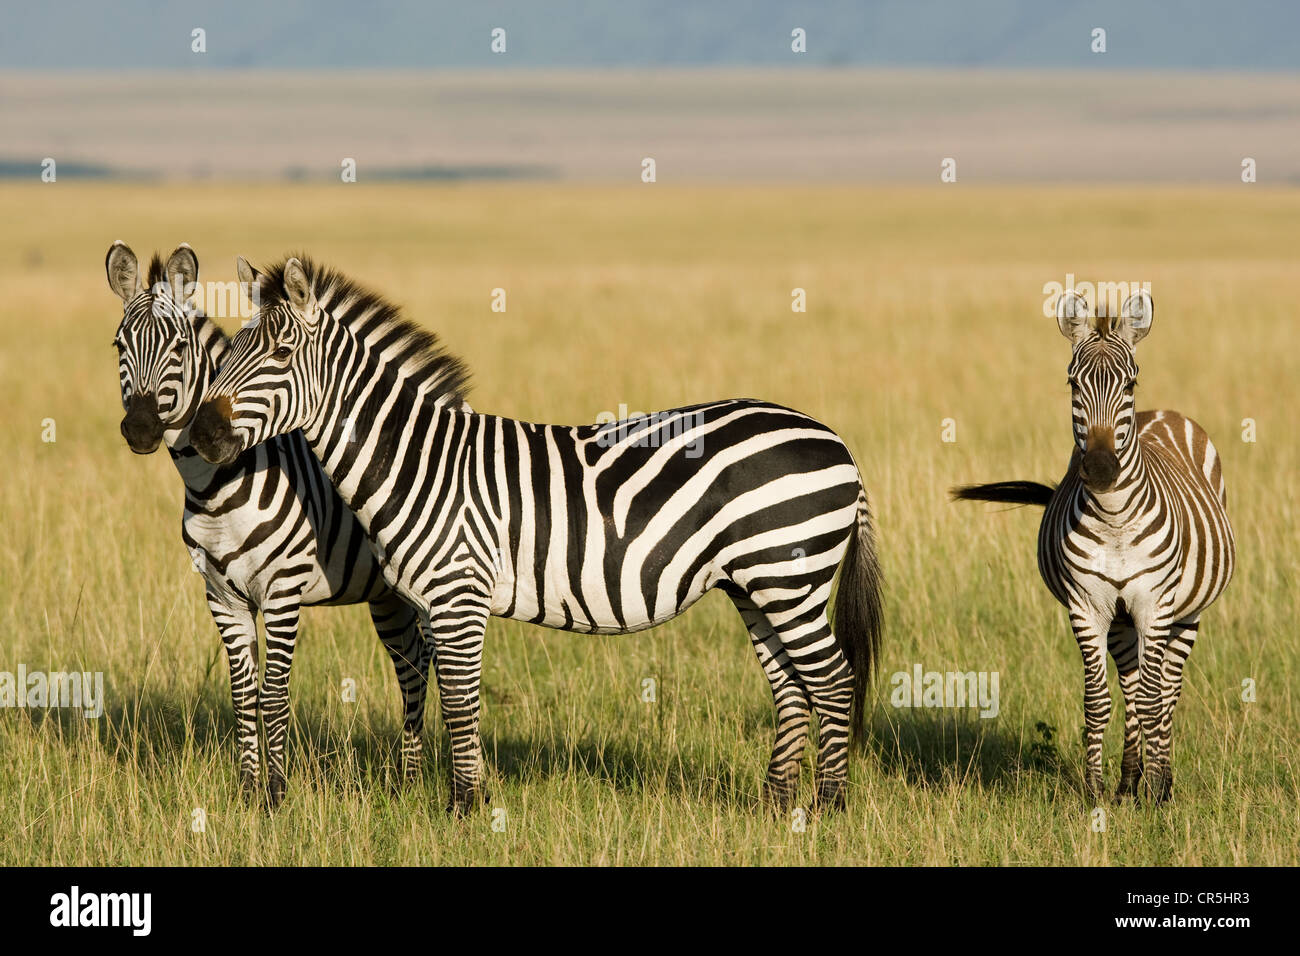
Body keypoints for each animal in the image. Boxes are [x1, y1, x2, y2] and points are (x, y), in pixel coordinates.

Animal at [106, 240, 439, 809]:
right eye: (118, 345)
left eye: (178, 347)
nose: (142, 429)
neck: (215, 486)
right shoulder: (222, 596)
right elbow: (243, 694)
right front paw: (246, 790)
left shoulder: (282, 590)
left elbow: (275, 692)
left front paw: (276, 795)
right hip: (385, 596)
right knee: (411, 664)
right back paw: (410, 780)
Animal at [189, 255, 884, 813]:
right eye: (230, 352)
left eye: (278, 356)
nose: (201, 435)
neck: (418, 462)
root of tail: (837, 440)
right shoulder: (436, 601)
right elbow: (448, 696)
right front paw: (465, 798)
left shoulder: (459, 593)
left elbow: (461, 702)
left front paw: (465, 810)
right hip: (757, 584)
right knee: (791, 687)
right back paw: (775, 805)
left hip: (788, 575)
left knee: (833, 680)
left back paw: (827, 809)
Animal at [952, 289, 1234, 803]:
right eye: (1072, 384)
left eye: (1130, 383)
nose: (1102, 469)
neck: (1115, 521)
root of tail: (1163, 413)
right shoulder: (1088, 607)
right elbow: (1100, 700)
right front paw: (1097, 789)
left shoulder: (1155, 606)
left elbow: (1153, 698)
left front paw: (1158, 794)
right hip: (1121, 620)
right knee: (1133, 688)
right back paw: (1129, 780)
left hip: (1187, 613)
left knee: (1166, 690)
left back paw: (1161, 779)